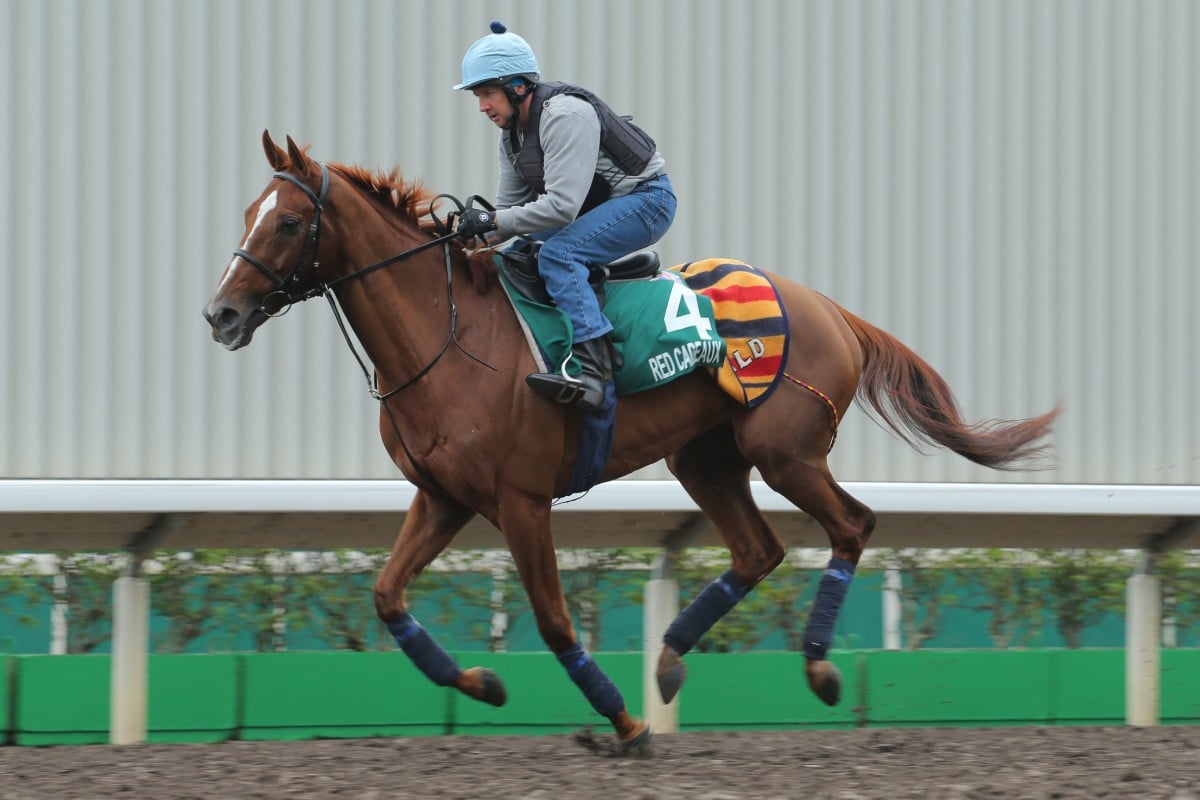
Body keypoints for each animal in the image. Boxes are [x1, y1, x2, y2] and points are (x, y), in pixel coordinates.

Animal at [206, 131, 1060, 753]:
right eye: (246, 212)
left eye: (288, 221)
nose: (220, 315)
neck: (447, 337)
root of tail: (830, 308)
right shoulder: (443, 496)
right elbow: (386, 596)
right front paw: (484, 684)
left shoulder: (521, 500)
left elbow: (554, 620)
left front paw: (625, 723)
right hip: (705, 458)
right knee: (758, 550)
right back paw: (671, 657)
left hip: (784, 451)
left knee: (851, 524)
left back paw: (816, 668)